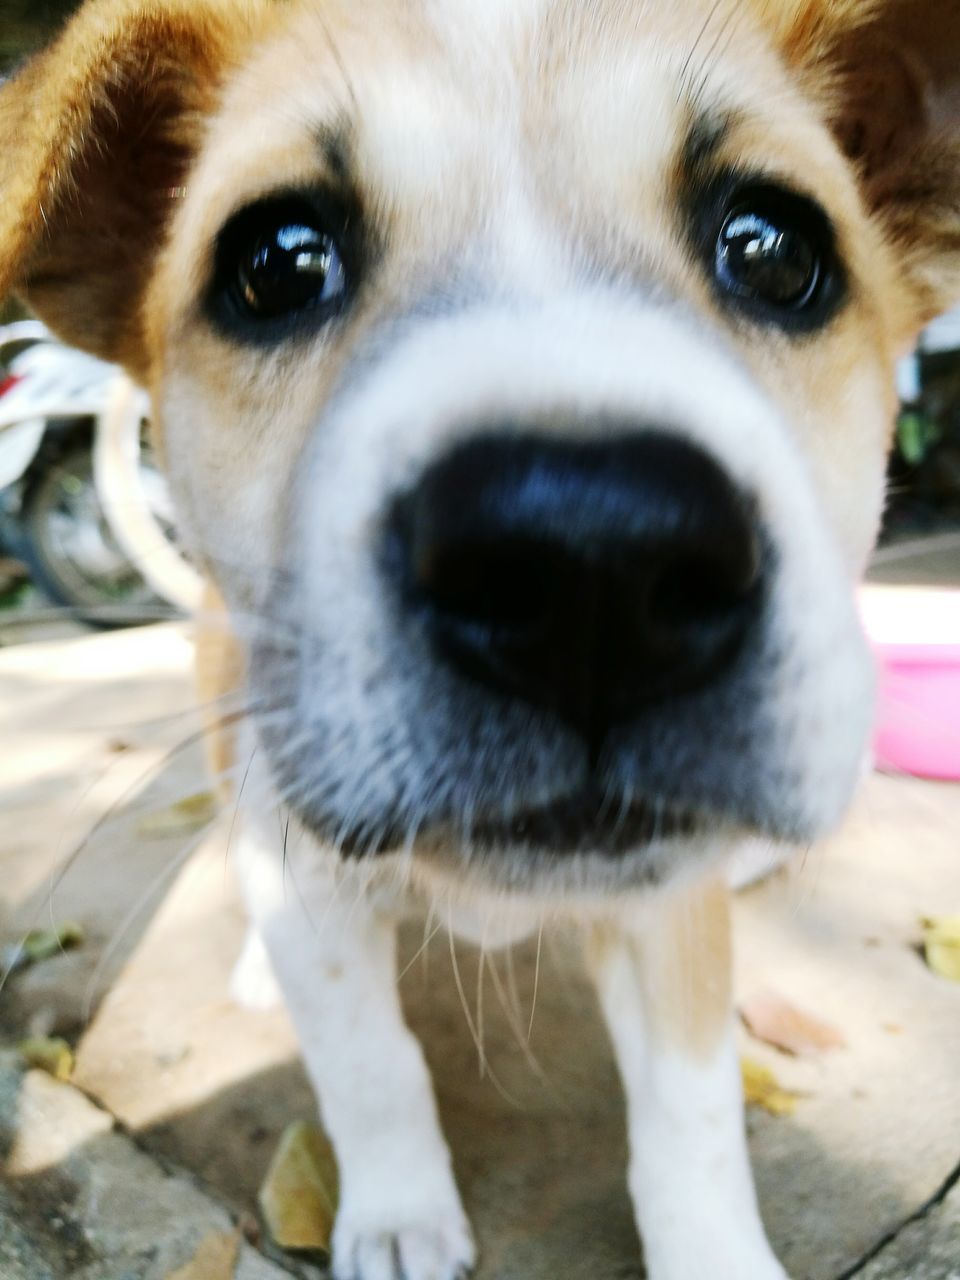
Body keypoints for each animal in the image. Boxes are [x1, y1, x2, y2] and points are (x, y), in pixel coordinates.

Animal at [1, 2, 960, 1280]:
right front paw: (401, 1212)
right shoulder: (307, 869)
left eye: (774, 249)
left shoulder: (669, 912)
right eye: (276, 262)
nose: (592, 566)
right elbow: (367, 1058)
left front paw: (711, 1248)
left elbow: (692, 1112)